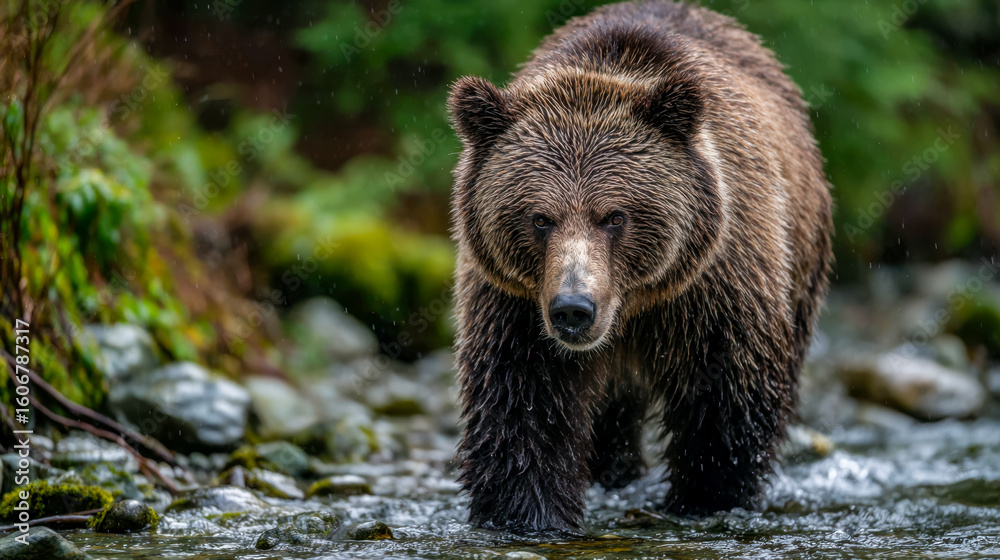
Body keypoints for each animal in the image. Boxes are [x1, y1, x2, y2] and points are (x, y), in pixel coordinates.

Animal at [448, 0, 832, 532]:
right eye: (540, 218)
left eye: (615, 216)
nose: (574, 309)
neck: (632, 306)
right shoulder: (515, 302)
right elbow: (522, 400)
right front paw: (526, 512)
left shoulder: (716, 285)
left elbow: (726, 395)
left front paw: (709, 496)